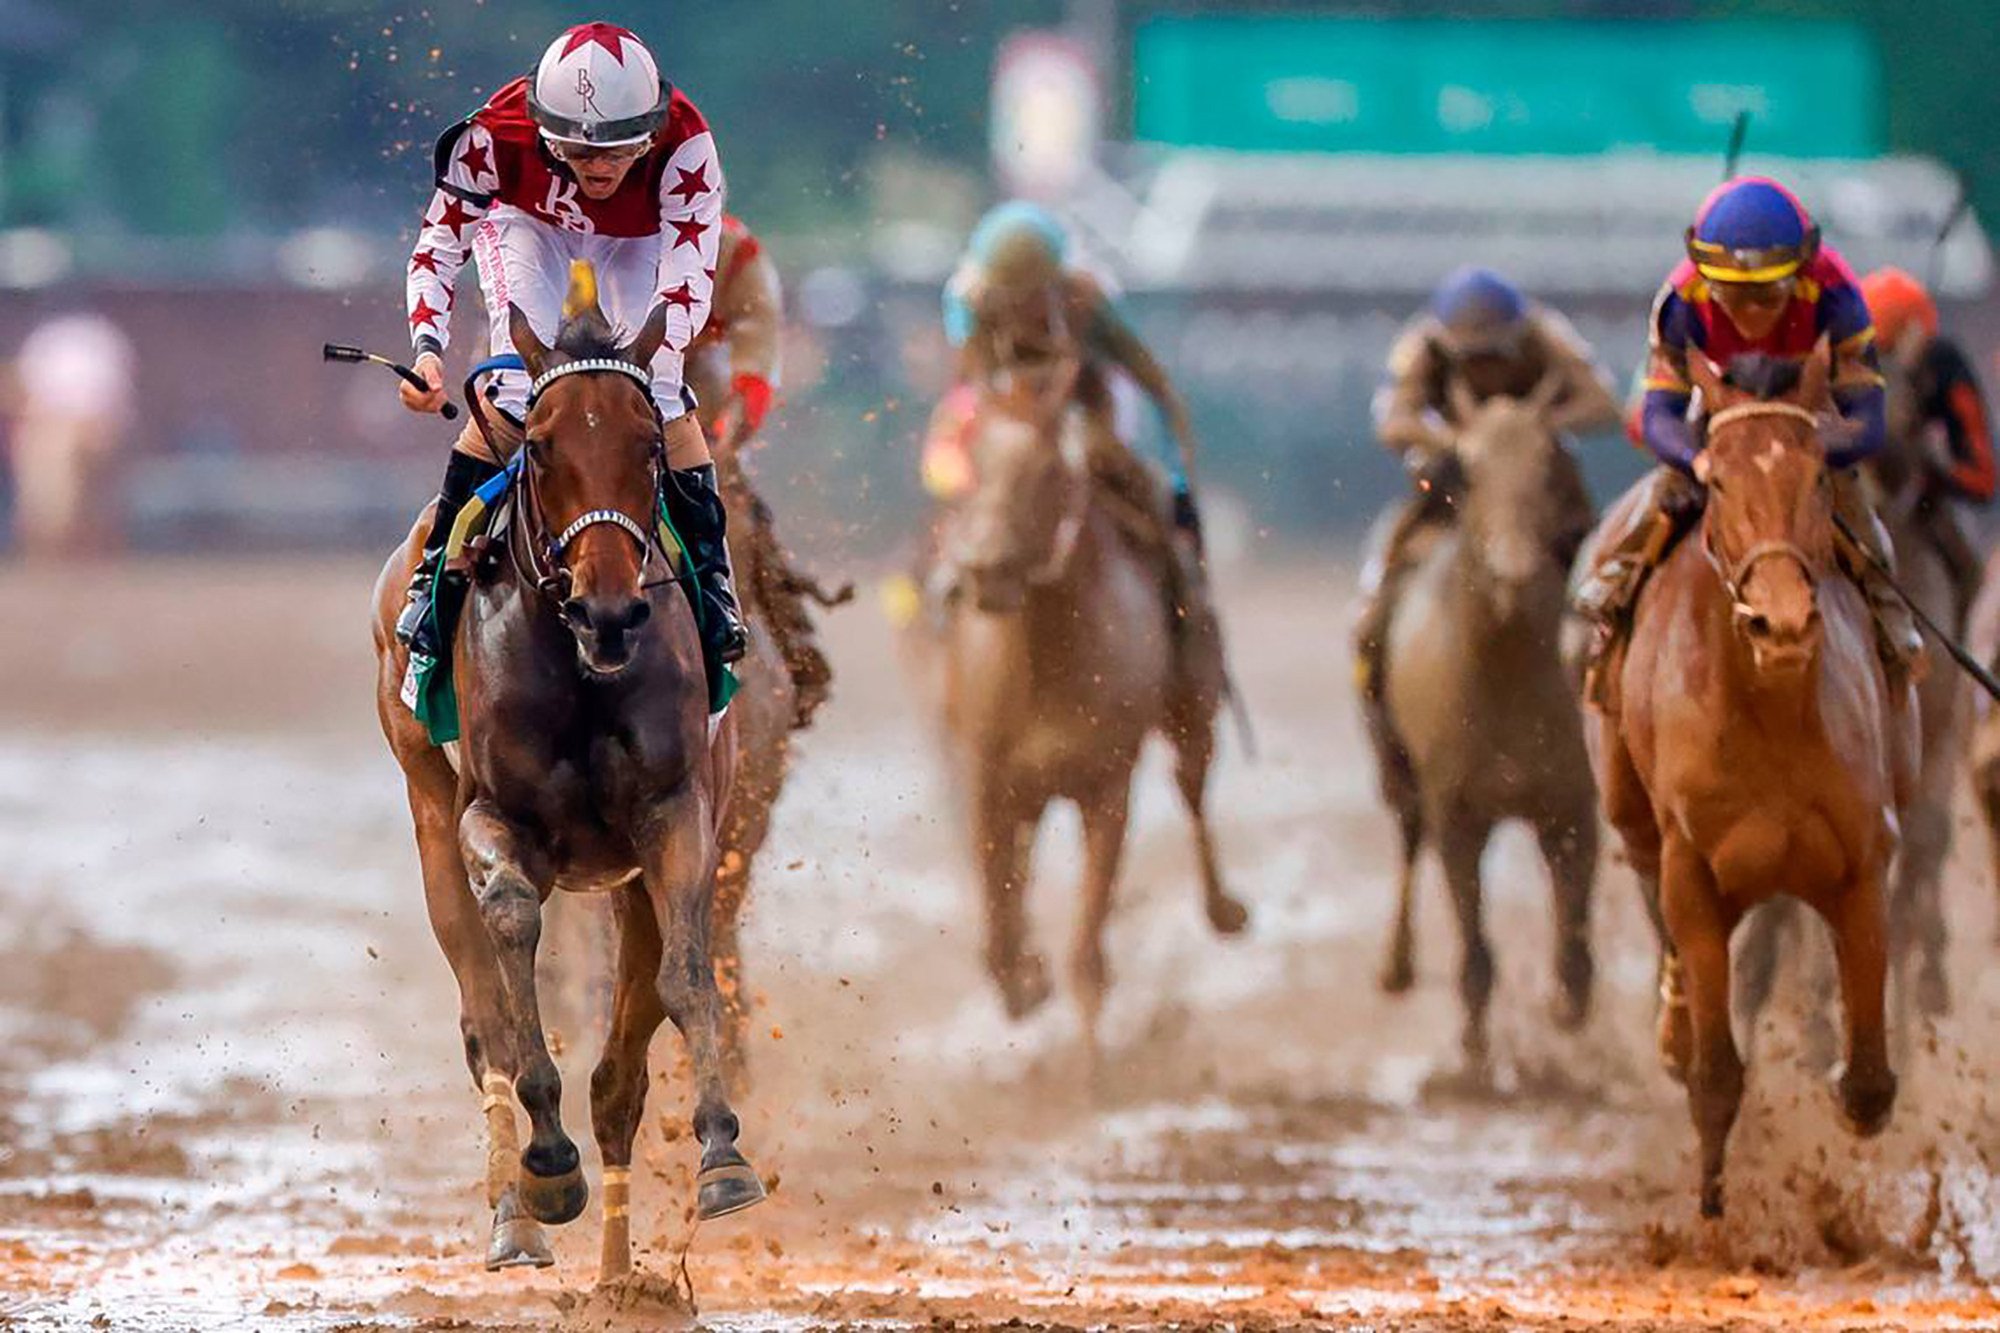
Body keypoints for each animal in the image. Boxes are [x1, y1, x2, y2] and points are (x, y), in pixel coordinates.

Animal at [372, 288, 760, 1280]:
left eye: (651, 445)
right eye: (541, 445)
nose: (610, 609)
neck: (584, 669)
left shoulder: (674, 815)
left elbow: (686, 974)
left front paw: (723, 1154)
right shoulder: (492, 817)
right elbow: (511, 938)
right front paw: (548, 1164)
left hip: (627, 879)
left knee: (621, 1072)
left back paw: (621, 1274)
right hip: (427, 814)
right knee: (482, 1020)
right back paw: (515, 1215)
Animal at [1592, 350, 1904, 1216]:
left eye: (1819, 475)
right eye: (1721, 482)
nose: (1783, 622)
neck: (1771, 710)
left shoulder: (1862, 862)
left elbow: (1868, 1082)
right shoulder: (1693, 870)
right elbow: (1715, 1075)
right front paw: (1712, 1212)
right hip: (1630, 813)